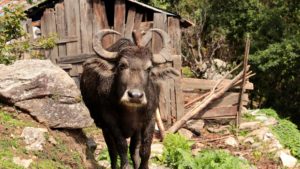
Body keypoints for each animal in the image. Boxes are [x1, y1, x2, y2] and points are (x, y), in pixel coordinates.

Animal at [79, 29, 178, 169]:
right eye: (122, 65)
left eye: (149, 68)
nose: (135, 96)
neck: (130, 111)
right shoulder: (110, 121)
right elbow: (121, 146)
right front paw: (125, 166)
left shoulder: (150, 119)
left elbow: (145, 149)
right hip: (104, 128)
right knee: (113, 151)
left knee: (134, 150)